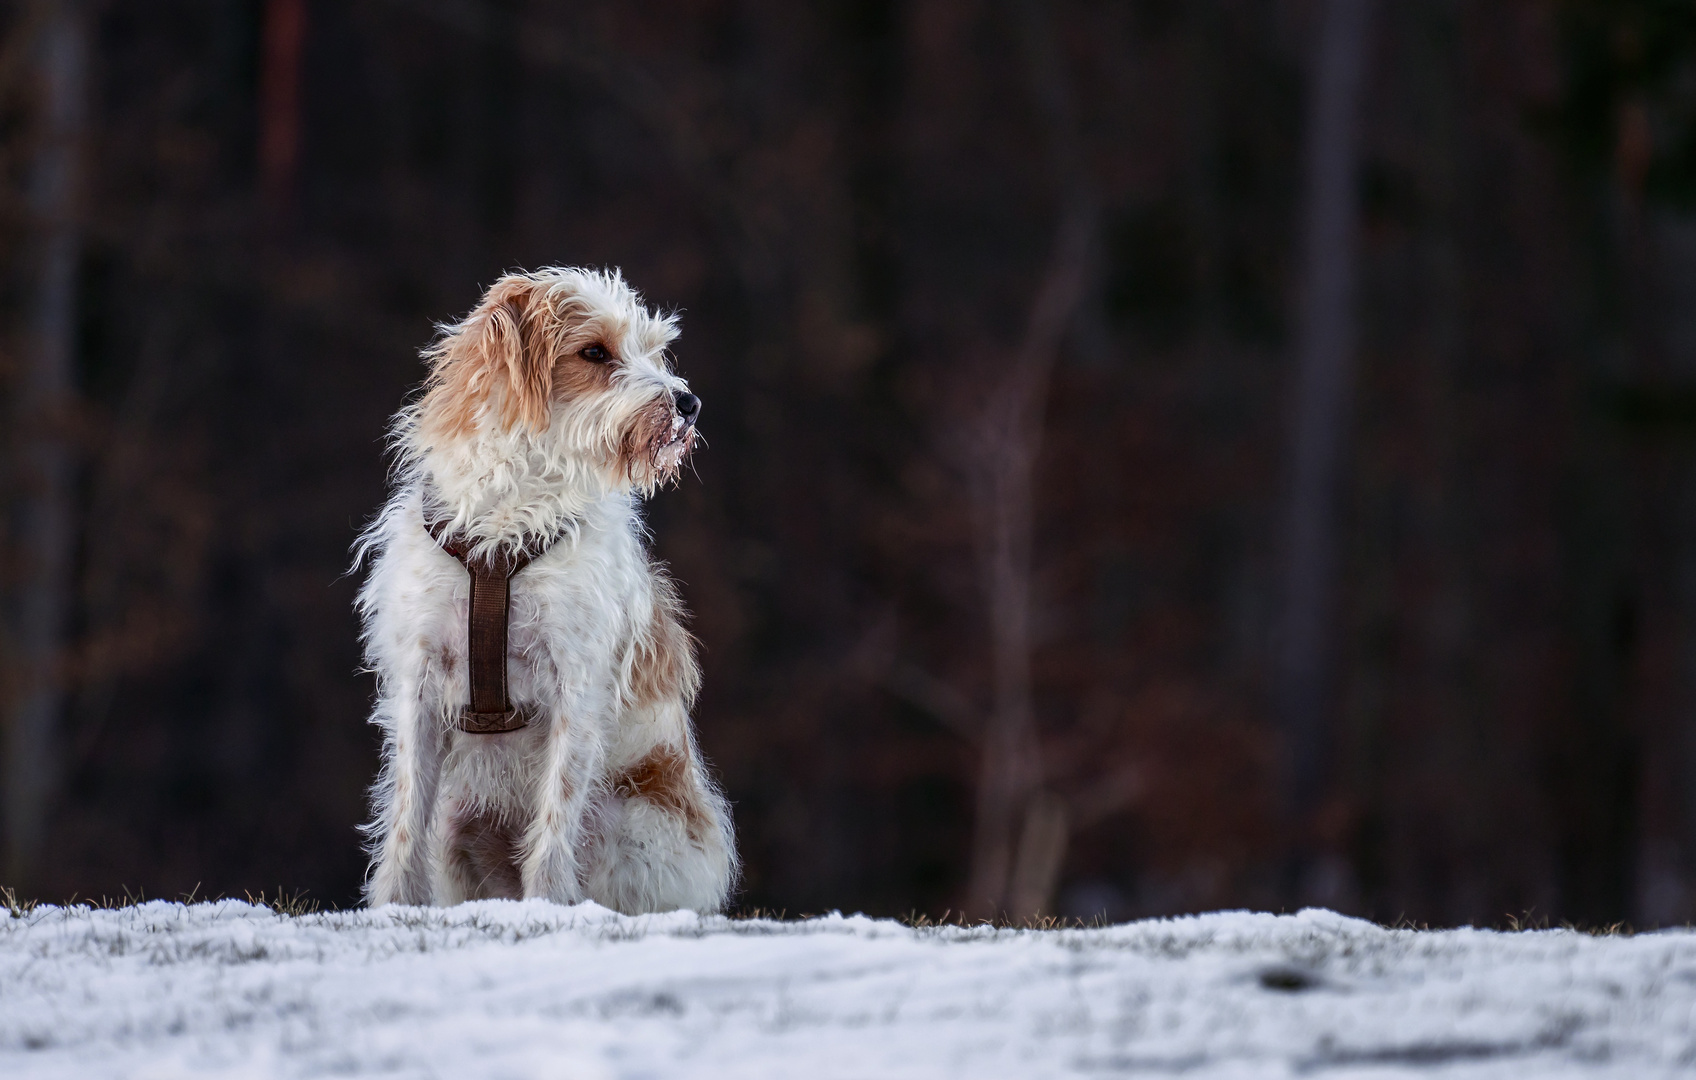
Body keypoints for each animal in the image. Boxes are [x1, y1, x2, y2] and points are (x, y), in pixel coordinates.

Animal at [354, 267, 732, 908]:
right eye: (595, 352)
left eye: (654, 350)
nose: (689, 402)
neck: (506, 524)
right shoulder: (419, 682)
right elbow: (406, 809)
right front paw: (395, 904)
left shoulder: (576, 684)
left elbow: (557, 814)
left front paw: (549, 905)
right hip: (457, 823)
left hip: (628, 825)